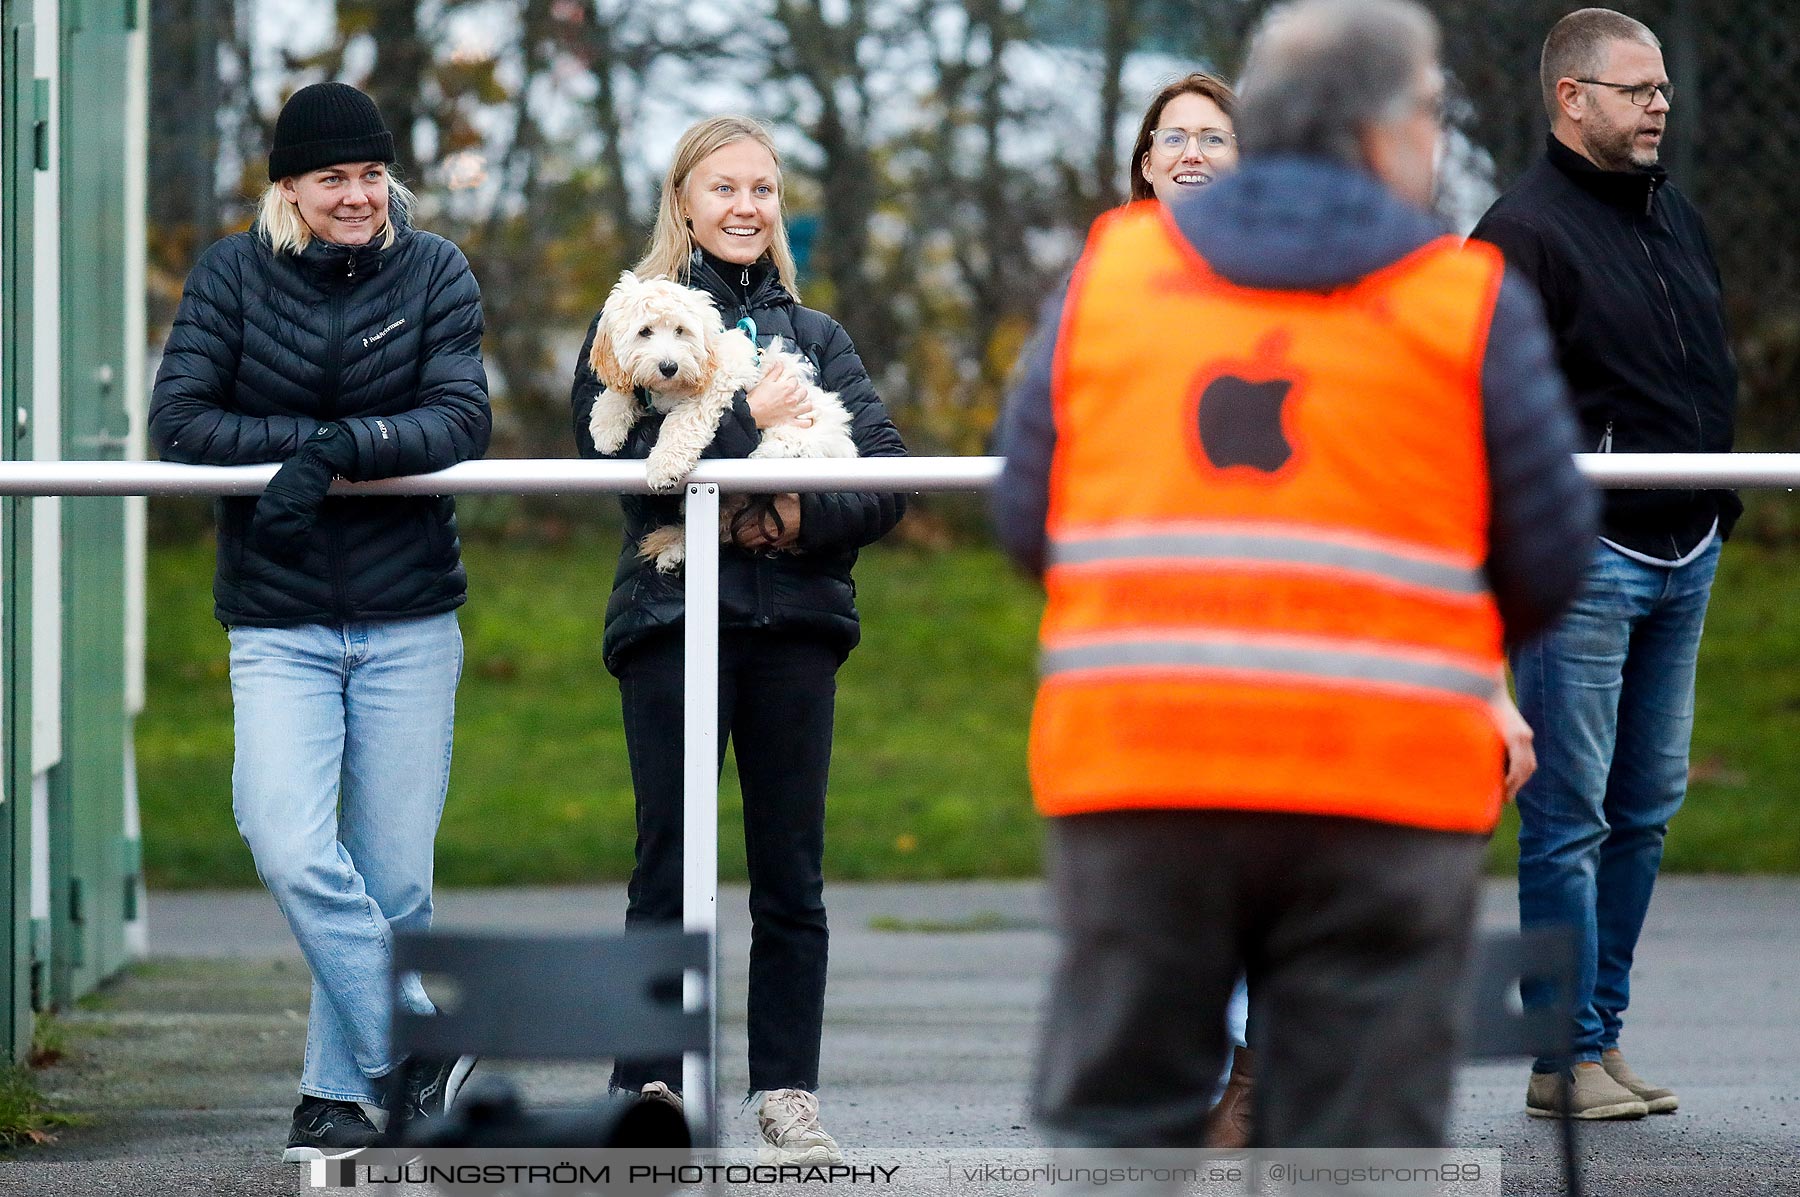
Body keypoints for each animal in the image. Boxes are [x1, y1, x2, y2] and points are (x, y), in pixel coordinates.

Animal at [583, 270, 849, 568]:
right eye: (644, 332)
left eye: (680, 330)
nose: (669, 367)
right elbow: (619, 392)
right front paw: (606, 426)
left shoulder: (715, 385)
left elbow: (682, 422)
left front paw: (664, 465)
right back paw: (675, 547)